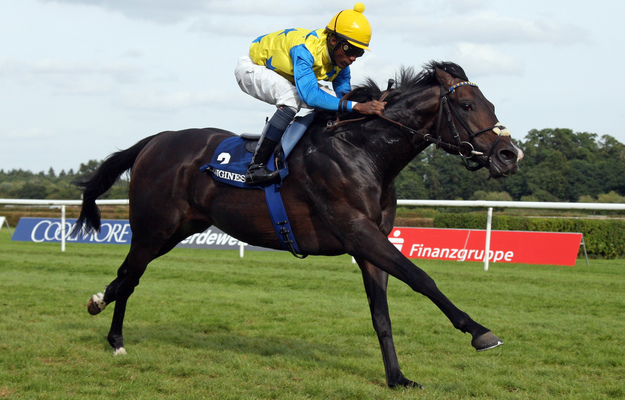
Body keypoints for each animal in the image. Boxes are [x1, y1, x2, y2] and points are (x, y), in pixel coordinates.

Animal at [73, 61, 520, 390]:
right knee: (130, 276)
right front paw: (480, 332)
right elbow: (422, 277)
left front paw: (397, 377)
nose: (509, 154)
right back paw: (115, 339)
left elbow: (382, 314)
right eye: (466, 107)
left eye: (491, 104)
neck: (363, 150)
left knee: (126, 277)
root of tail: (154, 140)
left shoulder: (369, 241)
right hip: (154, 229)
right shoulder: (357, 230)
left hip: (175, 230)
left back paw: (99, 303)